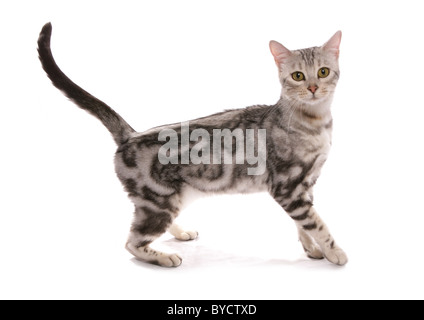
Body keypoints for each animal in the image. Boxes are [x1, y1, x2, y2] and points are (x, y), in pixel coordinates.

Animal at [37, 22, 348, 266]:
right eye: (298, 76)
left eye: (323, 72)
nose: (312, 88)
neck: (316, 123)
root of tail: (130, 135)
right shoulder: (287, 186)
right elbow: (316, 223)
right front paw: (335, 253)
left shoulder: (305, 184)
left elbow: (302, 225)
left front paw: (312, 249)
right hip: (159, 201)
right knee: (131, 243)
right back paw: (164, 257)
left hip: (172, 197)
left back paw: (181, 233)